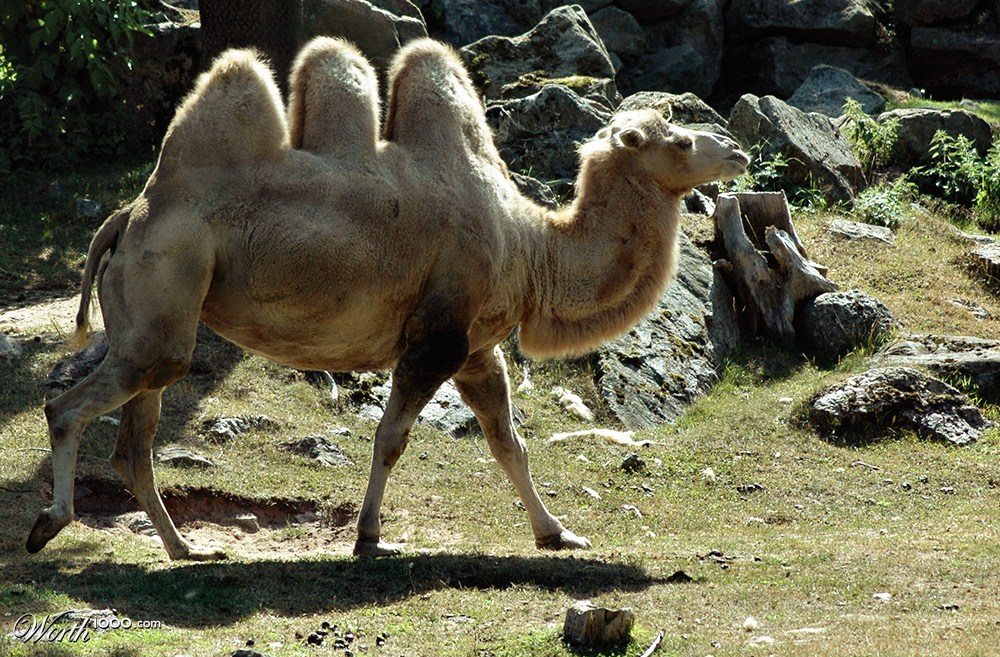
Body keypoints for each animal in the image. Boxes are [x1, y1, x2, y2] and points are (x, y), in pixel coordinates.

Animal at [26, 36, 748, 560]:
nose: (737, 149)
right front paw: (370, 536)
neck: (530, 246)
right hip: (167, 282)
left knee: (133, 441)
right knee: (68, 407)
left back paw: (188, 550)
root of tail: (129, 215)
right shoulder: (437, 337)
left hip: (159, 317)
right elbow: (391, 435)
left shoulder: (477, 349)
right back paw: (50, 522)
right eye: (680, 139)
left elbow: (508, 441)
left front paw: (557, 532)